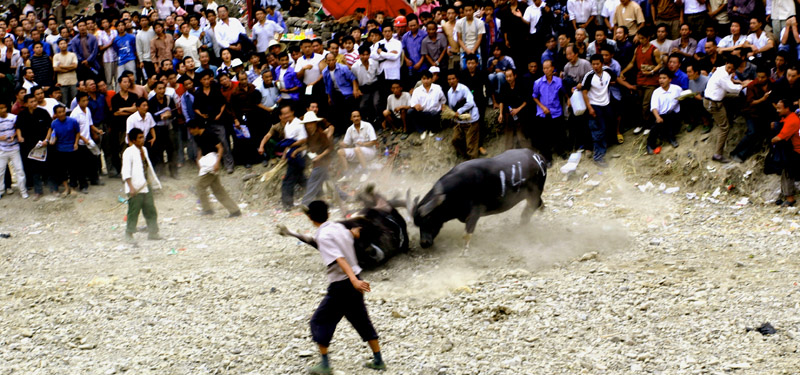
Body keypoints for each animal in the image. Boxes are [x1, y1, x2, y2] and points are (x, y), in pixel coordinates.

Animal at [410, 149, 548, 253]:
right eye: (417, 224)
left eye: (428, 220)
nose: (424, 243)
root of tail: (539, 158)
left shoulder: (474, 214)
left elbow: (466, 234)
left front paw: (464, 252)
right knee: (538, 204)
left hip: (534, 194)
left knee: (529, 210)